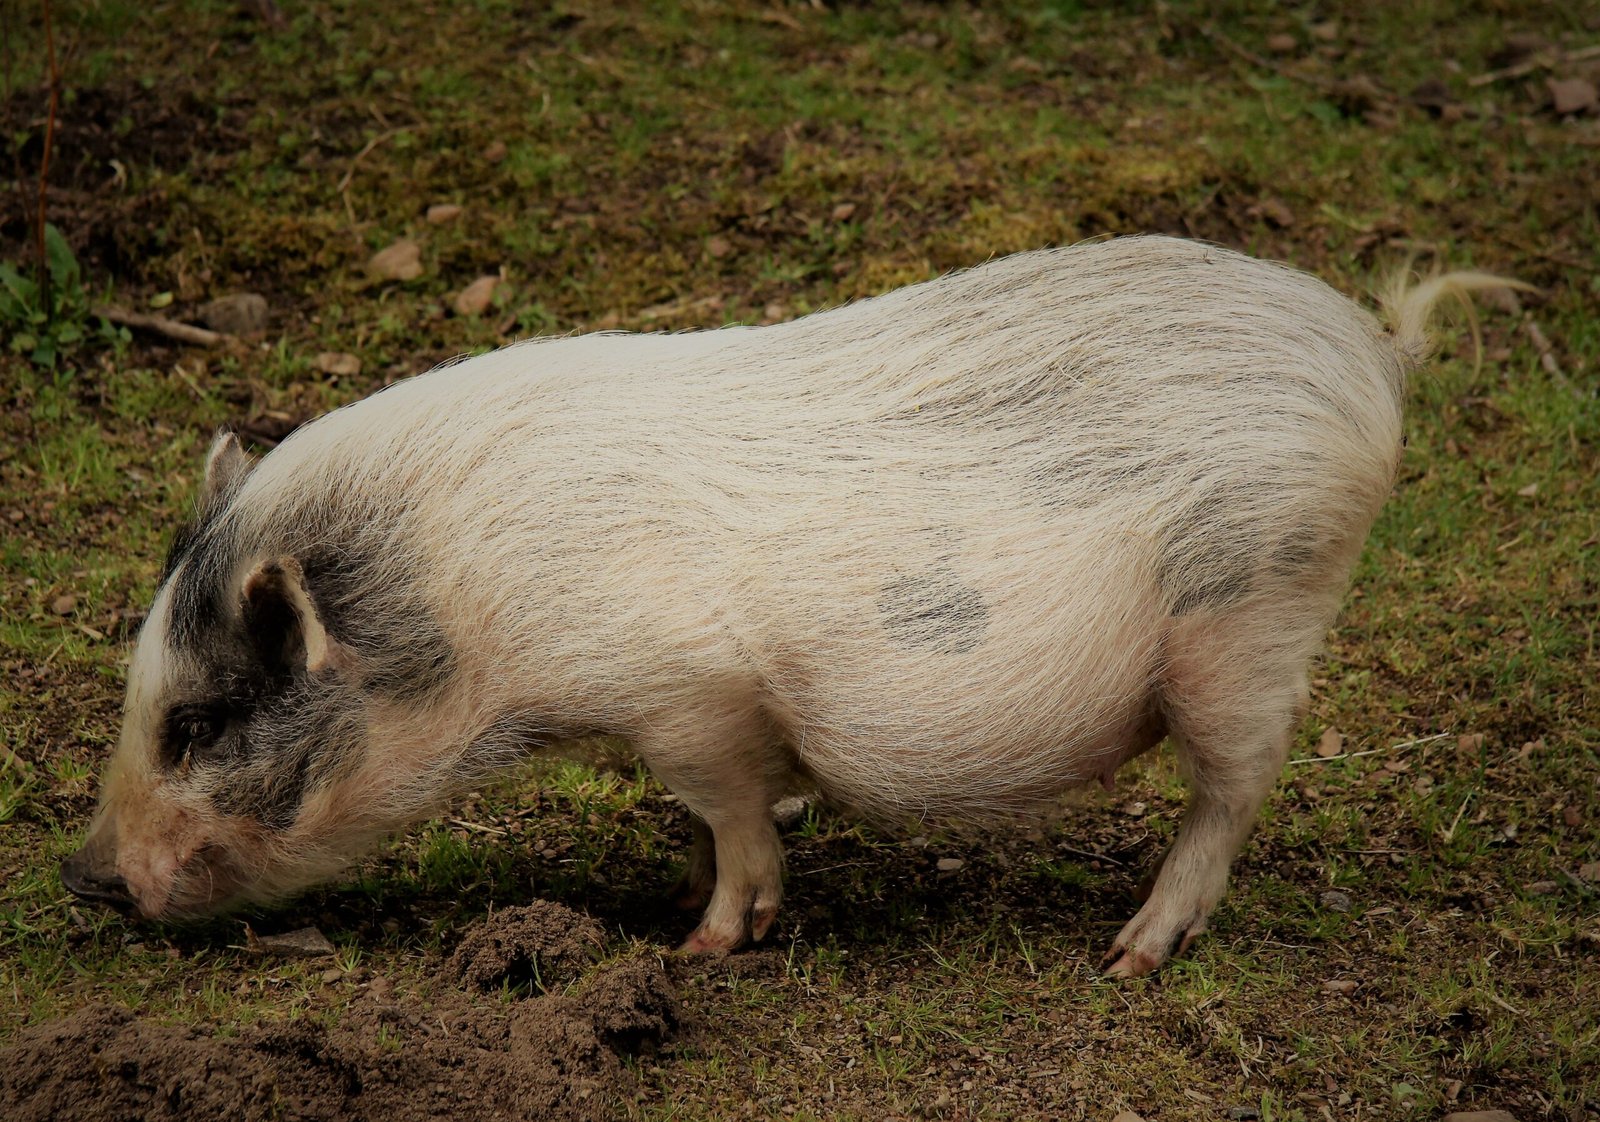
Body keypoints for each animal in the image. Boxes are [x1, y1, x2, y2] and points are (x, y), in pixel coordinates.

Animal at [60, 236, 1517, 976]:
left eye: (197, 724)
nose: (79, 876)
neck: (469, 615)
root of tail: (1369, 350)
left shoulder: (686, 692)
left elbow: (728, 814)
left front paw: (703, 944)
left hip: (1251, 611)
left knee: (1236, 788)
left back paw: (1129, 956)